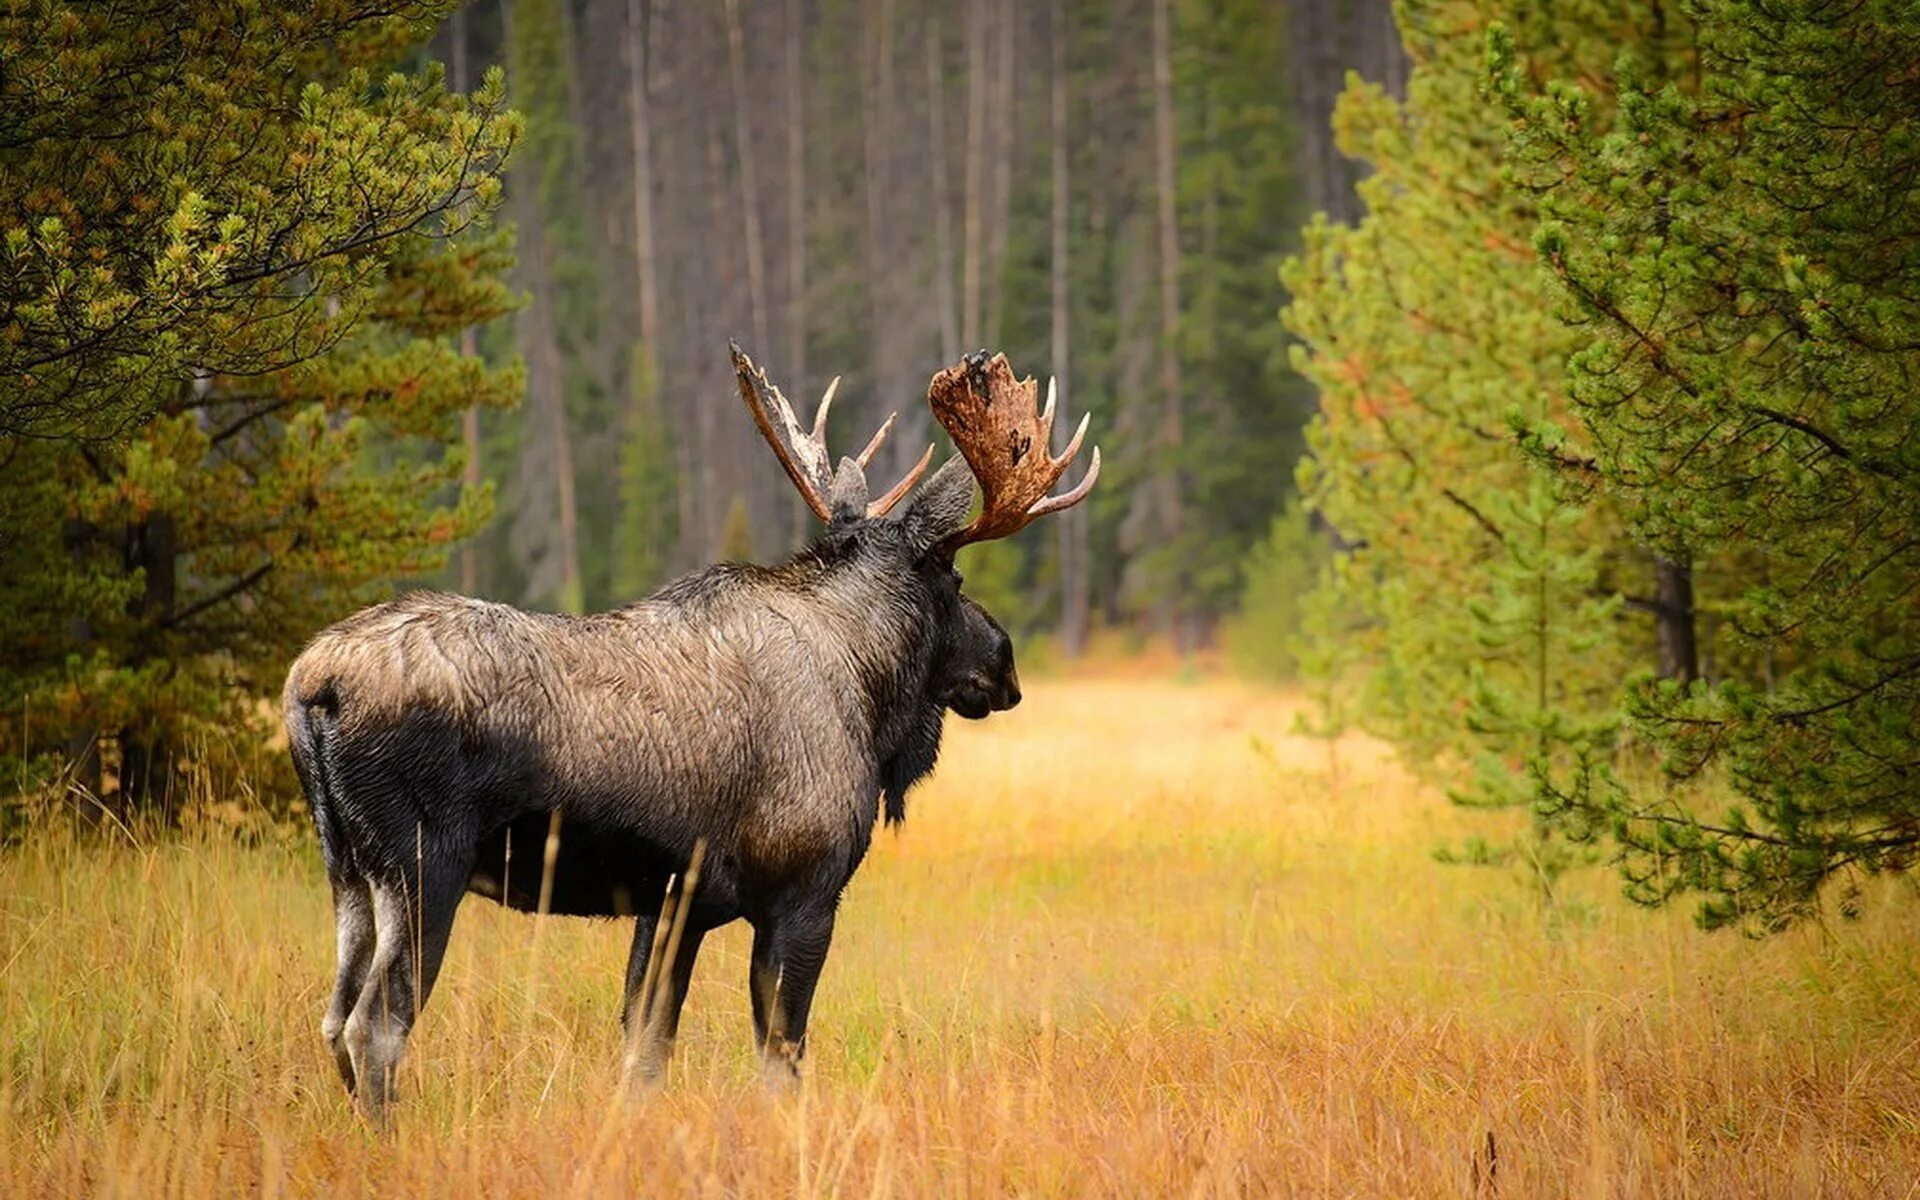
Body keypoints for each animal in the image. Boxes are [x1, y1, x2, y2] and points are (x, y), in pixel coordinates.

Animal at [278, 343, 1105, 1113]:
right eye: (955, 580)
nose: (1005, 663)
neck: (869, 691)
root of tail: (311, 688)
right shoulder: (803, 892)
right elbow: (782, 1056)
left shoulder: (674, 904)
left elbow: (645, 1051)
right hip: (424, 865)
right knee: (375, 1028)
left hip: (347, 871)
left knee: (333, 1019)